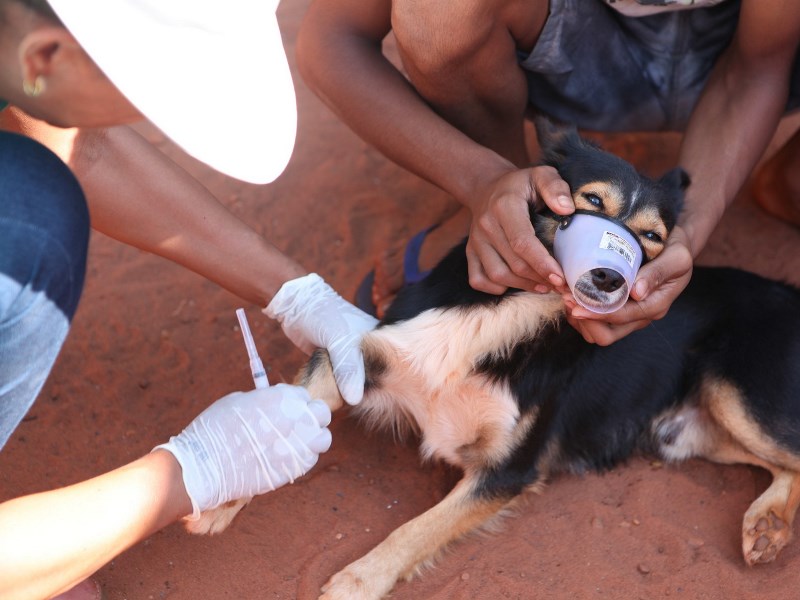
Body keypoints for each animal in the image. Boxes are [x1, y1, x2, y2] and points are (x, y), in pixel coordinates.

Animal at [192, 123, 800, 600]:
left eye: (651, 238)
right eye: (589, 203)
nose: (609, 276)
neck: (509, 307)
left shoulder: (506, 471)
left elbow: (414, 530)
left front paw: (357, 581)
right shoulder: (360, 353)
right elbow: (293, 405)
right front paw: (232, 473)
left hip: (736, 395)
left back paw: (768, 523)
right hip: (695, 429)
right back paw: (769, 523)